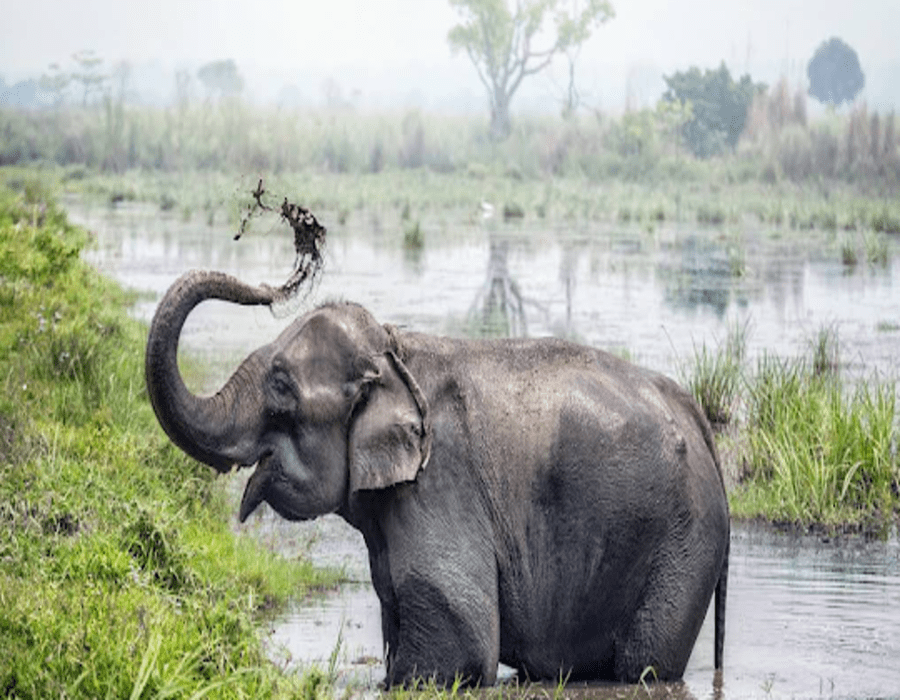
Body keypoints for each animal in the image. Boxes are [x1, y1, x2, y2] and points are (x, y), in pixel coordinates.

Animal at [145, 269, 730, 687]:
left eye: (283, 387)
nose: (272, 287)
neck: (395, 350)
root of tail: (696, 415)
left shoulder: (440, 481)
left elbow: (461, 640)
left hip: (684, 542)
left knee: (645, 666)